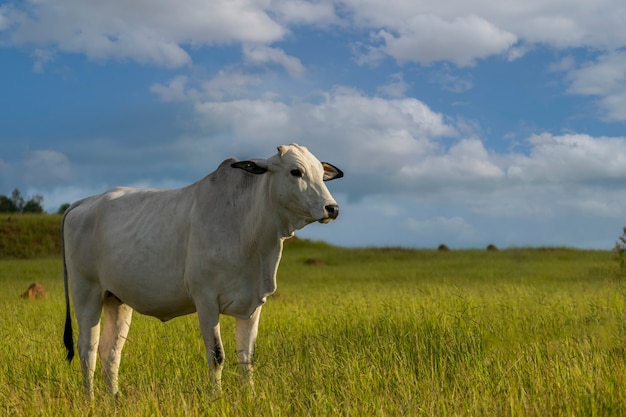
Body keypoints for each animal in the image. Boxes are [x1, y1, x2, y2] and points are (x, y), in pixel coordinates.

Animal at [62, 143, 342, 396]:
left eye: (320, 172)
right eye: (296, 171)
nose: (333, 208)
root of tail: (84, 201)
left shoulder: (253, 304)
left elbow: (247, 357)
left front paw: (249, 396)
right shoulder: (206, 300)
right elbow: (217, 355)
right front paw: (216, 397)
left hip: (117, 299)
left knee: (110, 351)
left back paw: (114, 398)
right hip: (86, 292)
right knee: (87, 349)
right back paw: (89, 399)